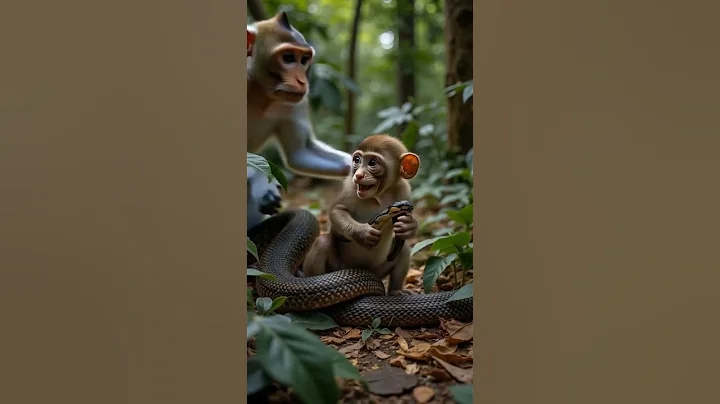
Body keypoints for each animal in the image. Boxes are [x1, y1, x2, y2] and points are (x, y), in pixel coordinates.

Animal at [246, 12, 352, 230]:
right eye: (287, 58)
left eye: (304, 59)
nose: (303, 81)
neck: (259, 91)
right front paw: (261, 182)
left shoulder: (296, 102)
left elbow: (300, 152)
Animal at [301, 135, 421, 296]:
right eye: (357, 160)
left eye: (372, 163)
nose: (358, 175)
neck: (379, 196)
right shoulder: (350, 188)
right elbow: (337, 211)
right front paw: (362, 233)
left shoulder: (404, 189)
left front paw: (408, 226)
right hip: (339, 266)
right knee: (322, 242)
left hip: (379, 270)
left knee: (404, 249)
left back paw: (396, 290)